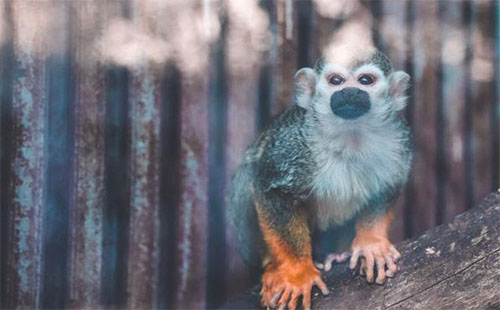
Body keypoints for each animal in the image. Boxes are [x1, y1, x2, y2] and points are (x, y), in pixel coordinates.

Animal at [229, 45, 412, 310]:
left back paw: (335, 254)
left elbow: (387, 187)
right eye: (336, 81)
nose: (349, 92)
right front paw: (298, 273)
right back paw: (273, 266)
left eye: (365, 80)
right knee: (248, 175)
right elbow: (270, 188)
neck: (349, 134)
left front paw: (371, 242)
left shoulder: (399, 139)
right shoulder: (291, 143)